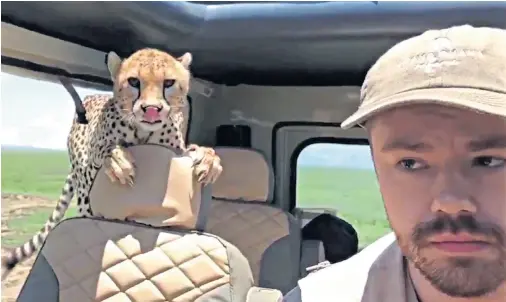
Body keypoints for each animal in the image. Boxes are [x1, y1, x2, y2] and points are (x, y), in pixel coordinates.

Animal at [0, 47, 221, 280]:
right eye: (134, 81)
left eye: (168, 83)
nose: (152, 109)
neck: (143, 132)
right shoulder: (91, 171)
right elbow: (104, 150)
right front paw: (117, 160)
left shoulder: (176, 150)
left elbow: (194, 152)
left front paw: (209, 159)